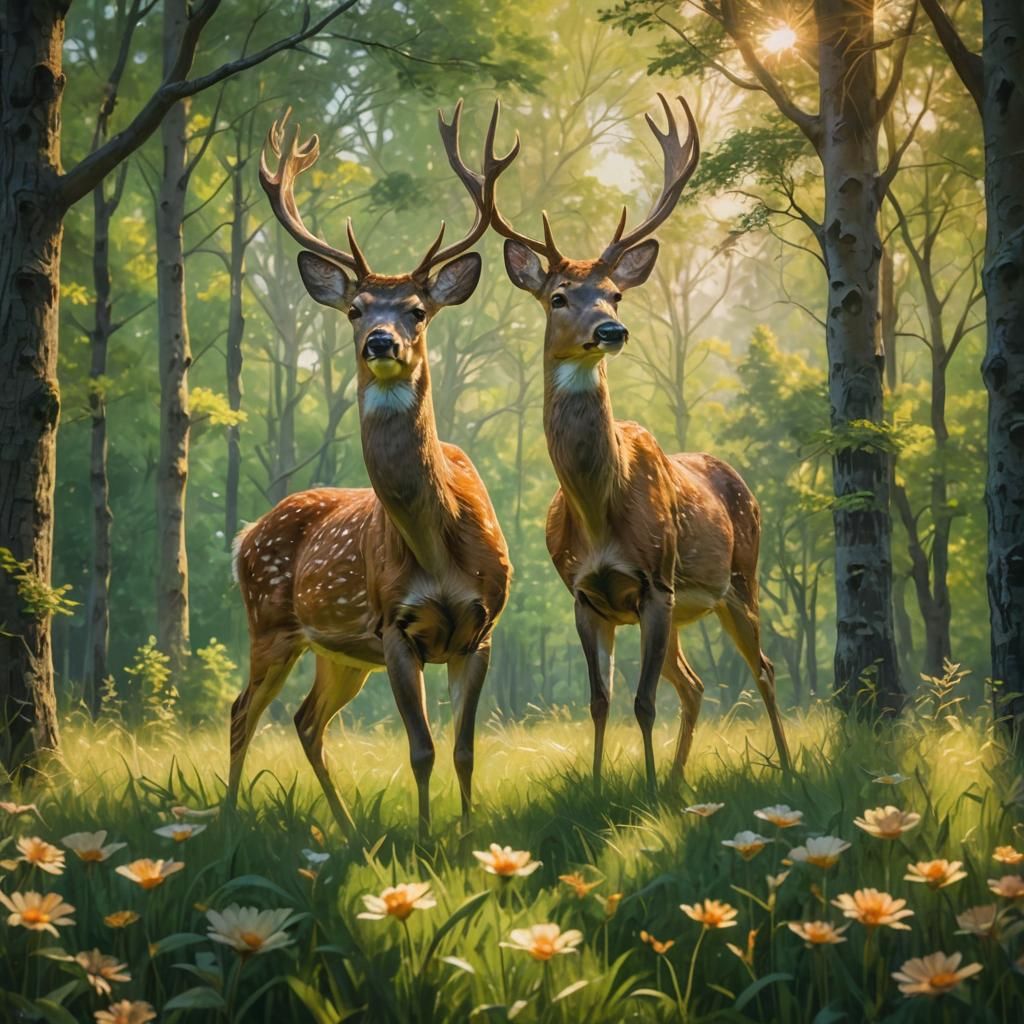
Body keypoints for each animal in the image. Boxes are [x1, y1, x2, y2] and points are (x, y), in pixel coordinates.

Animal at [226, 102, 517, 839]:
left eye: (417, 309)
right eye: (355, 309)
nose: (381, 341)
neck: (437, 547)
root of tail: (245, 535)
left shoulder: (482, 627)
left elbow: (466, 750)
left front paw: (466, 836)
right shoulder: (394, 627)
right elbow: (421, 749)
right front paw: (424, 837)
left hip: (338, 651)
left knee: (305, 721)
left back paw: (349, 830)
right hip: (271, 623)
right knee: (243, 712)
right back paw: (225, 820)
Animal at [490, 95, 791, 794]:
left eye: (616, 293)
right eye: (558, 295)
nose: (612, 330)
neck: (601, 512)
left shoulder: (655, 581)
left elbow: (642, 701)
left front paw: (646, 792)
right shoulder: (585, 594)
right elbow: (600, 701)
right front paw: (603, 788)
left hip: (739, 577)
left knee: (761, 668)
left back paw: (784, 767)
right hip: (685, 612)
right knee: (696, 683)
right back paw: (680, 777)